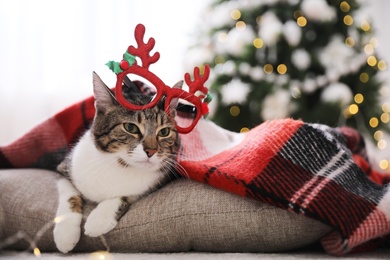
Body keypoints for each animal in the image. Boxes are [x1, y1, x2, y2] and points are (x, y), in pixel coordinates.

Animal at [53, 72, 181, 253]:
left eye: (164, 132)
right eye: (130, 127)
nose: (151, 151)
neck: (118, 164)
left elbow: (125, 196)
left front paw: (100, 218)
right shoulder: (65, 167)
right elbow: (69, 194)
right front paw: (65, 234)